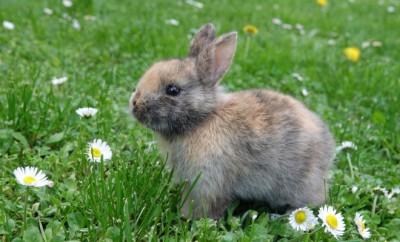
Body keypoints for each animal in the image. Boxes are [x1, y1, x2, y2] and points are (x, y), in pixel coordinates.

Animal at [130, 23, 336, 219]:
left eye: (172, 90)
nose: (134, 103)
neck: (202, 119)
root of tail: (329, 149)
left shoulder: (209, 180)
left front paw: (191, 218)